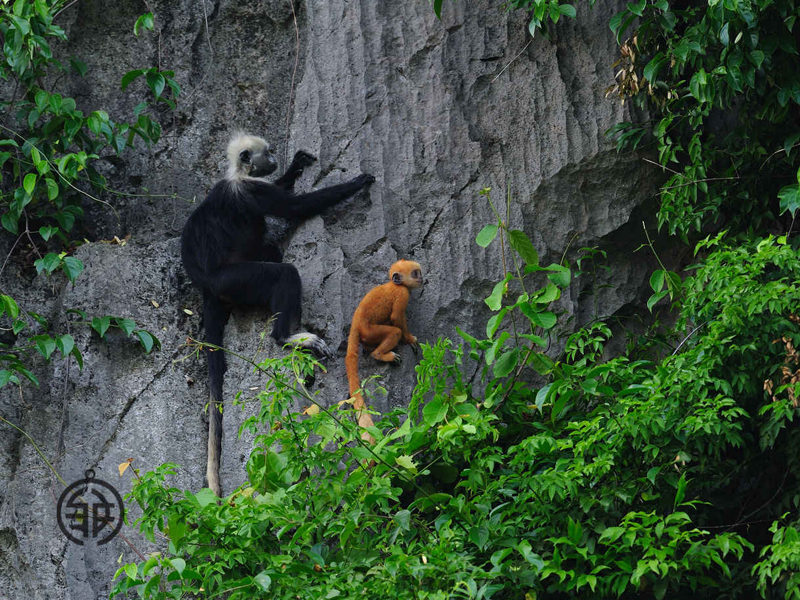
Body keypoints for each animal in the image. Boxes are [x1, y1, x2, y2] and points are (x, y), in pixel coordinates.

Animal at [346, 258, 424, 440]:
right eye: (415, 273)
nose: (422, 278)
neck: (395, 284)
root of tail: (356, 325)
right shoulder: (402, 294)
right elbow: (396, 318)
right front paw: (409, 339)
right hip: (370, 331)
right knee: (394, 331)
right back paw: (380, 354)